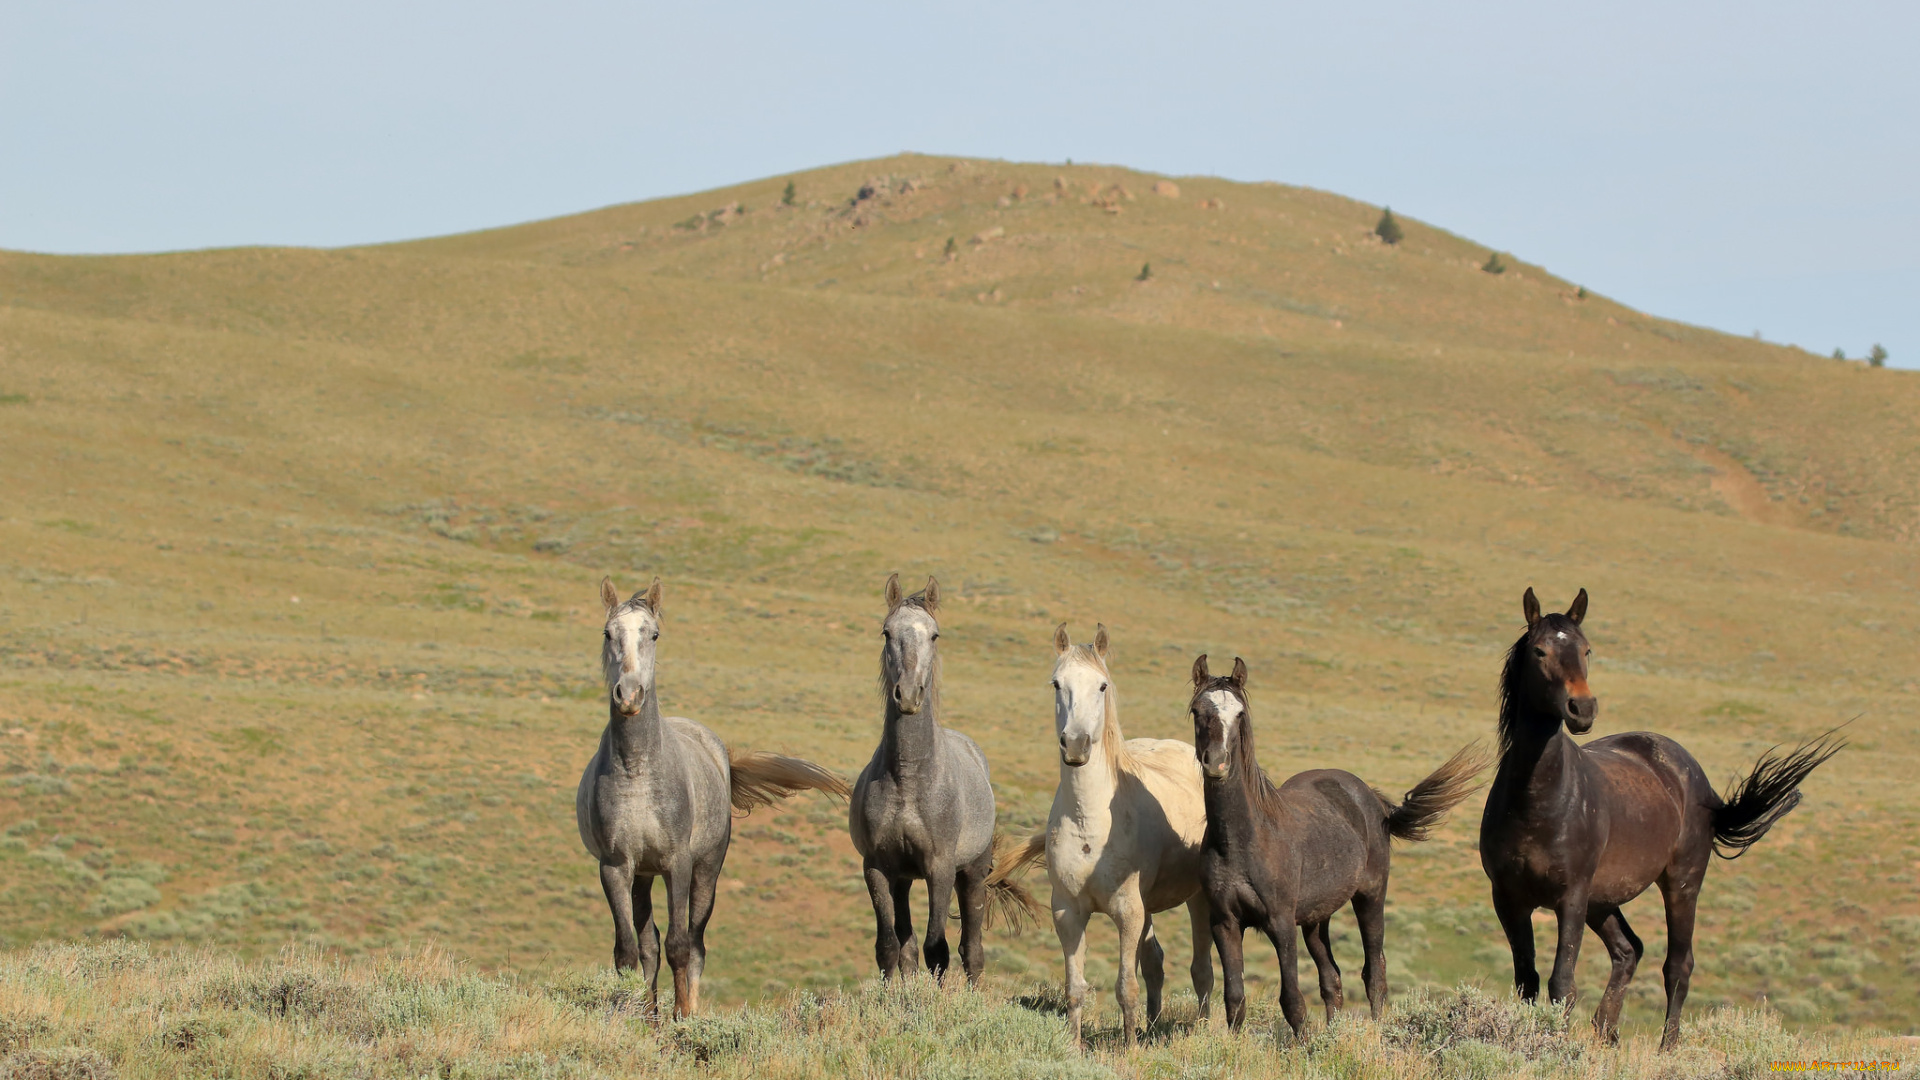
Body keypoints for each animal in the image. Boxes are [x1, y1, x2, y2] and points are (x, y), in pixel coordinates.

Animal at [564, 576, 844, 1014]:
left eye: (654, 634)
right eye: (608, 633)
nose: (629, 694)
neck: (637, 772)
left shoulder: (677, 863)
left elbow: (680, 945)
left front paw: (682, 1017)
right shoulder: (615, 866)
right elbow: (627, 952)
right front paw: (630, 1016)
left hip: (707, 869)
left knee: (694, 944)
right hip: (643, 875)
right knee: (648, 945)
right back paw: (651, 1016)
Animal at [852, 576, 1036, 980]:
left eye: (934, 635)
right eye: (887, 632)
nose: (908, 694)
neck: (909, 779)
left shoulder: (940, 869)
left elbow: (938, 949)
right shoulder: (878, 868)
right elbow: (889, 948)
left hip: (972, 874)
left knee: (972, 951)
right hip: (904, 879)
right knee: (906, 948)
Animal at [990, 622, 1213, 1045]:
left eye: (1102, 686)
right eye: (1057, 684)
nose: (1076, 744)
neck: (1090, 825)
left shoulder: (1127, 911)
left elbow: (1126, 987)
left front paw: (1130, 1050)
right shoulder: (1068, 911)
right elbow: (1075, 989)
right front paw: (1075, 1047)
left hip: (1197, 899)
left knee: (1203, 971)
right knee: (1156, 964)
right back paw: (1152, 1027)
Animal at [1482, 584, 1843, 1045]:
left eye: (1587, 649)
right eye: (1541, 651)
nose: (1582, 708)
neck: (1538, 801)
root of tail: (1696, 778)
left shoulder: (1572, 898)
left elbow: (1562, 983)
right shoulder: (1509, 899)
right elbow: (1527, 981)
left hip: (1680, 884)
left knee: (1677, 965)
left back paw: (1666, 1047)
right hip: (1604, 899)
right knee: (1628, 950)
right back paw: (1606, 1032)